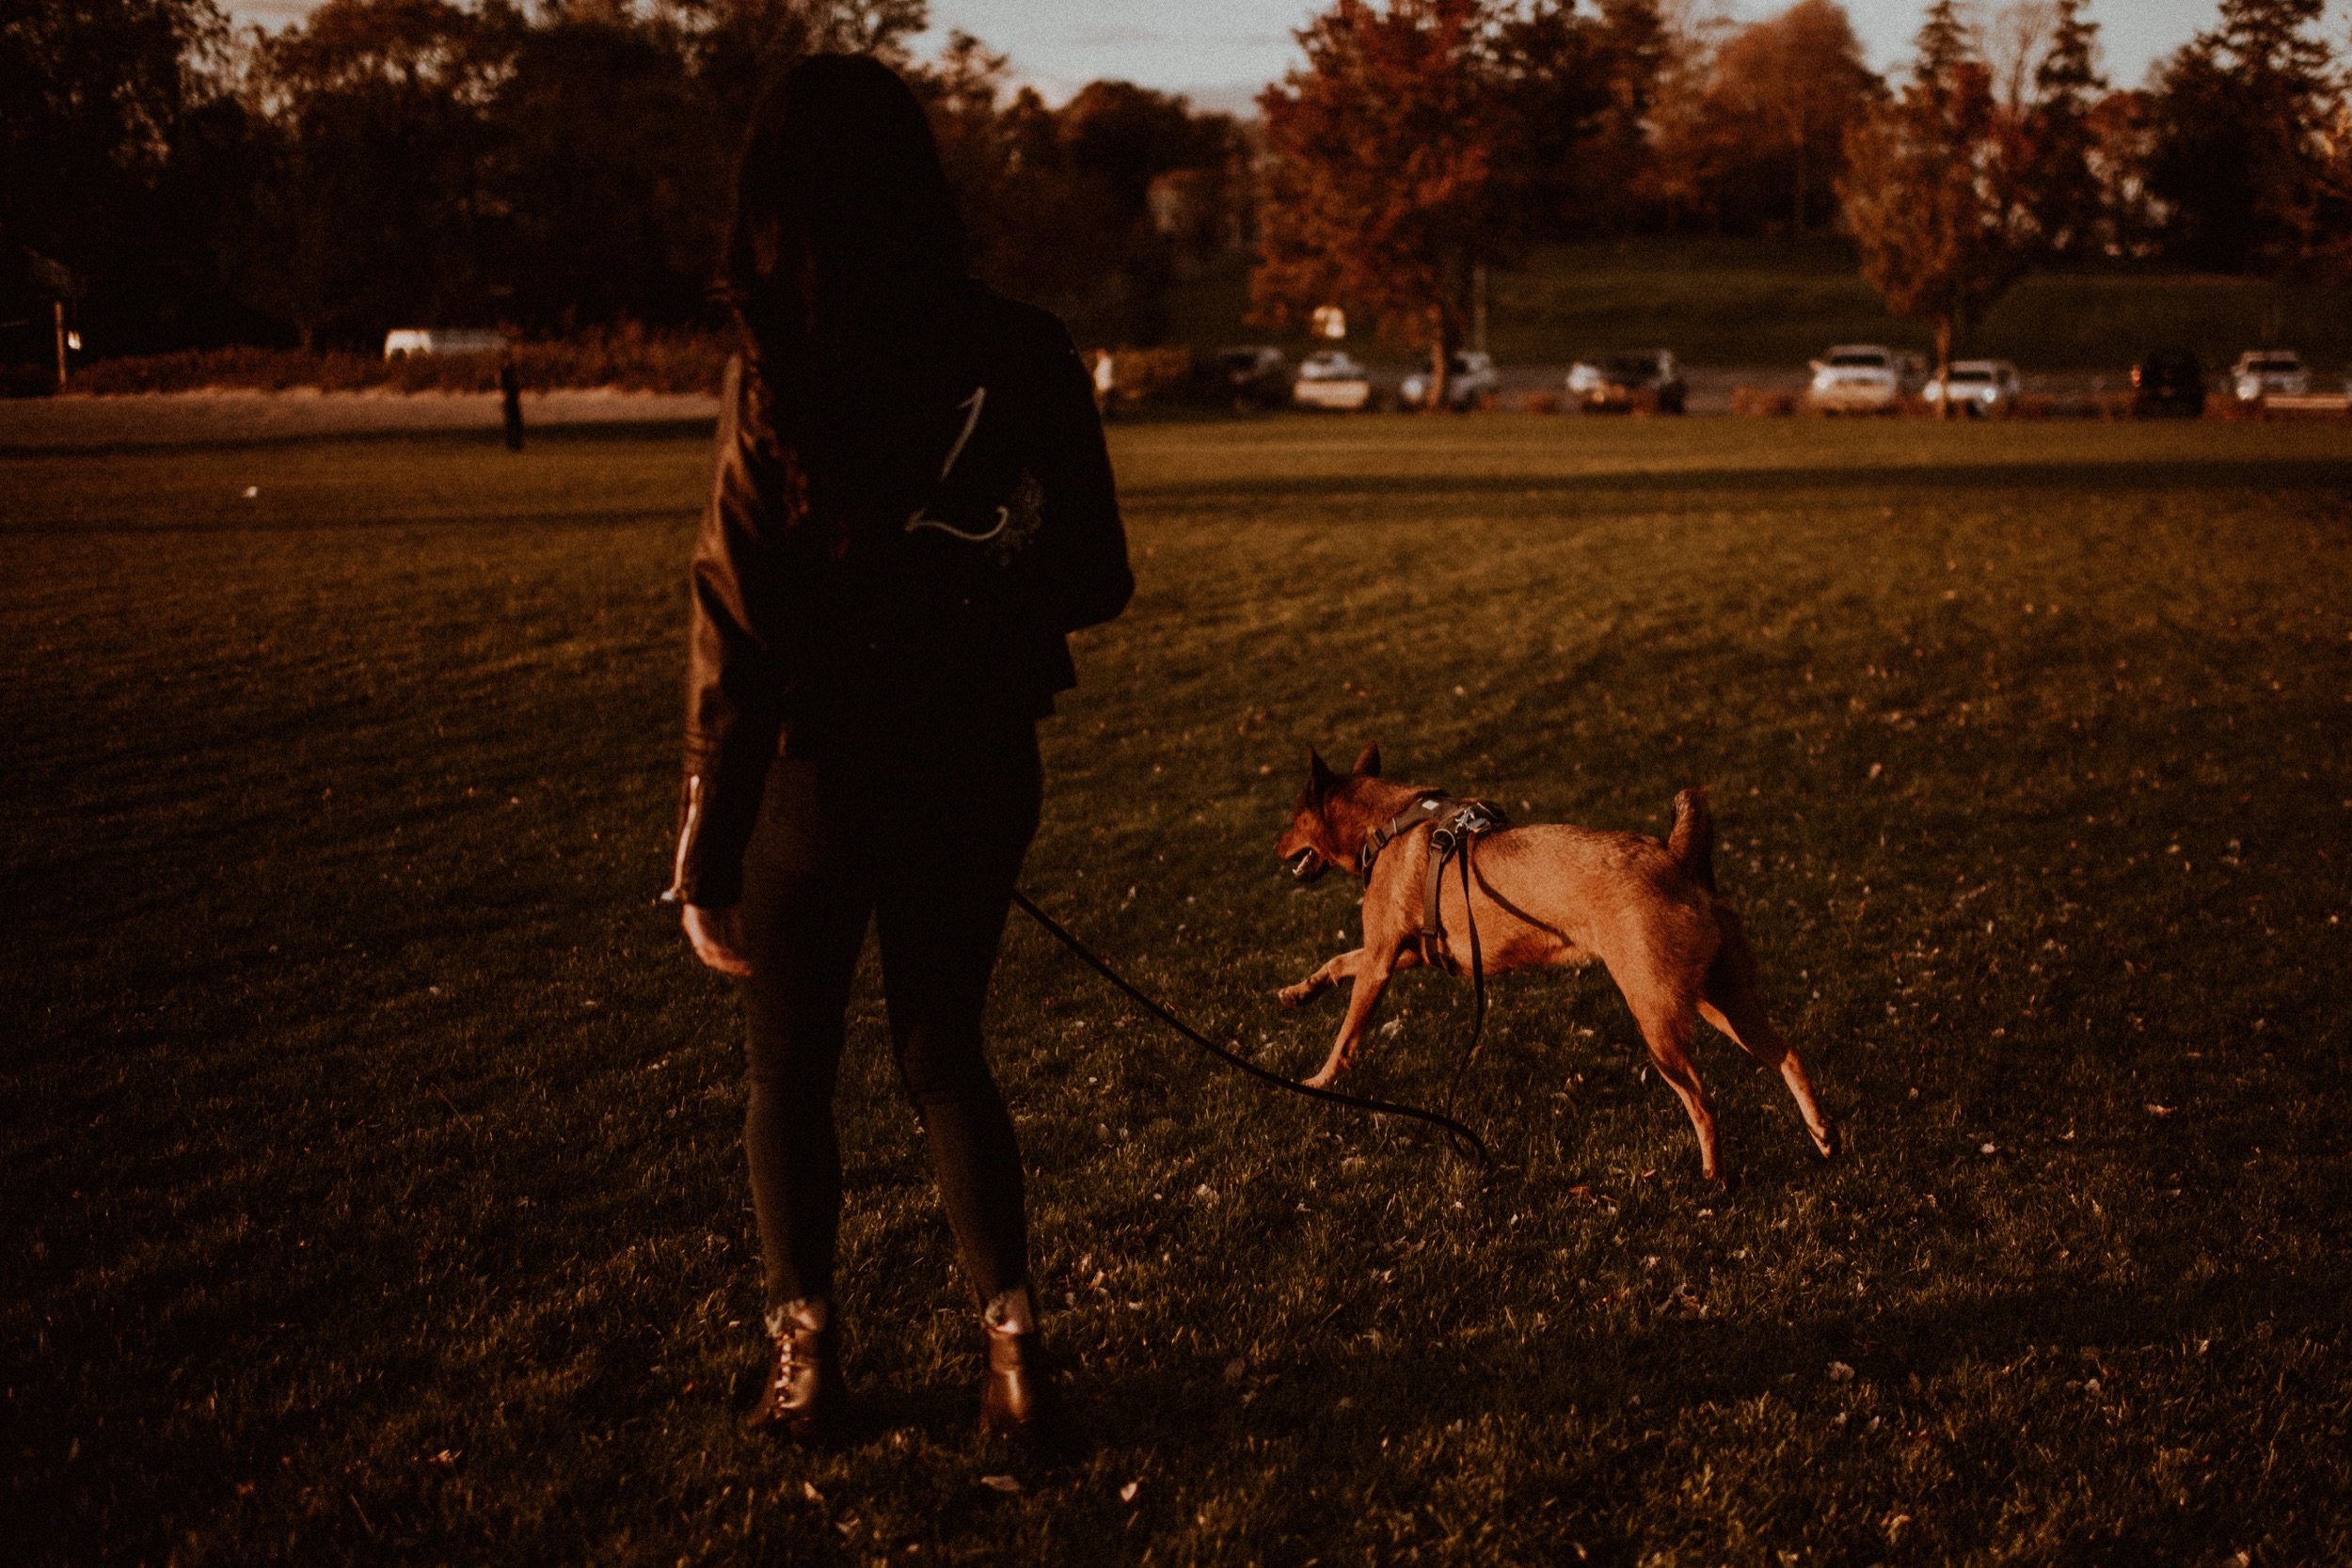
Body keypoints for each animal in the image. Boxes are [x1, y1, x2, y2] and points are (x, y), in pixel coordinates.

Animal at [1279, 747, 1825, 1175]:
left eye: (1293, 817)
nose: (1274, 845)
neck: (1388, 820)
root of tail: (1675, 858)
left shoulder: (1381, 962)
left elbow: (1344, 1039)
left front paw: (1319, 1083)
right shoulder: (1406, 953)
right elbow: (1338, 961)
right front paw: (1301, 991)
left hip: (1658, 1021)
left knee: (1703, 1102)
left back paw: (1714, 1177)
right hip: (1721, 1000)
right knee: (1788, 1055)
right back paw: (1824, 1136)